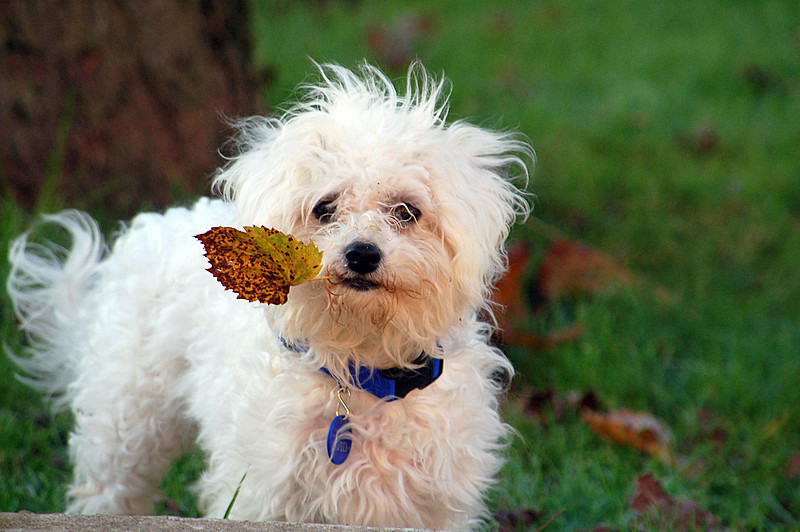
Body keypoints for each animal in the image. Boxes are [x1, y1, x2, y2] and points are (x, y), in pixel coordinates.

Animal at [7, 61, 532, 528]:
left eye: (406, 211)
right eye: (325, 208)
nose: (362, 254)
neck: (361, 366)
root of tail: (157, 223)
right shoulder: (262, 496)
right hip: (125, 421)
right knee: (109, 488)